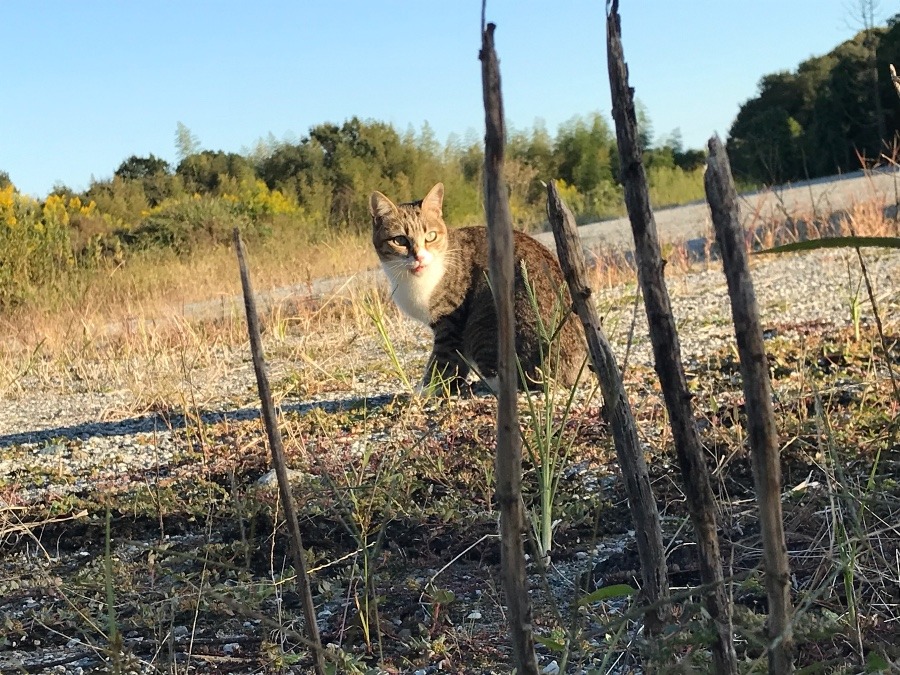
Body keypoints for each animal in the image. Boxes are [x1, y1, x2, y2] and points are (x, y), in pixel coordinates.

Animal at [370, 182, 588, 394]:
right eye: (400, 240)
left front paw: (426, 391)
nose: (419, 257)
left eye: (430, 236)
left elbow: (442, 360)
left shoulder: (450, 323)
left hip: (483, 325)